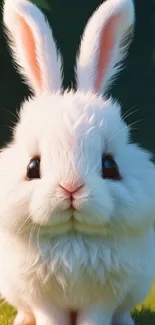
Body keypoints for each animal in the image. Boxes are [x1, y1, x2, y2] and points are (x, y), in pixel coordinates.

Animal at [0, 0, 155, 322]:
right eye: (32, 167)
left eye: (110, 166)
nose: (71, 188)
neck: (72, 237)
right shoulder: (42, 298)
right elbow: (48, 316)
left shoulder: (102, 298)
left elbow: (95, 317)